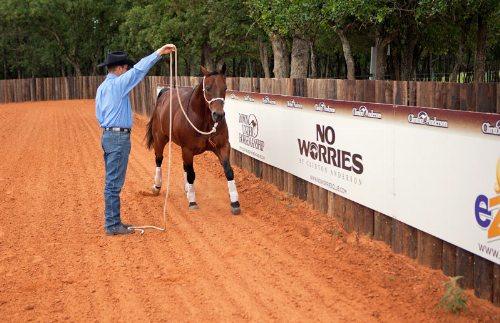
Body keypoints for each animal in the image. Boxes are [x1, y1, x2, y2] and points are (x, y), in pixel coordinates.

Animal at [144, 64, 241, 215]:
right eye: (208, 87)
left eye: (225, 88)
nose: (218, 115)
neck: (204, 120)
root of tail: (165, 93)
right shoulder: (187, 149)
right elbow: (191, 174)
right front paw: (192, 201)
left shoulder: (222, 146)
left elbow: (229, 171)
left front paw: (235, 201)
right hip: (160, 139)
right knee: (159, 160)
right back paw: (157, 185)